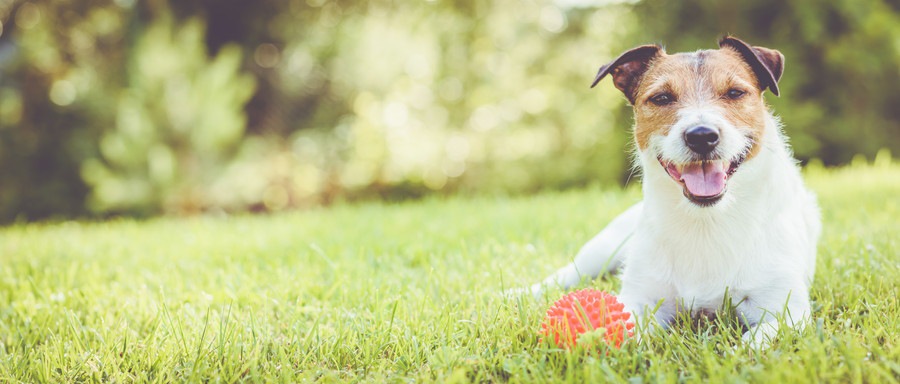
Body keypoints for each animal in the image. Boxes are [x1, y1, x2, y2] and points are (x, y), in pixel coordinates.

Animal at [528, 37, 824, 346]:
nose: (702, 136)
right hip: (602, 248)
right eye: (662, 98)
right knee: (563, 275)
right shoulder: (640, 298)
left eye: (734, 93)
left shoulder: (787, 310)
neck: (706, 221)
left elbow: (757, 339)